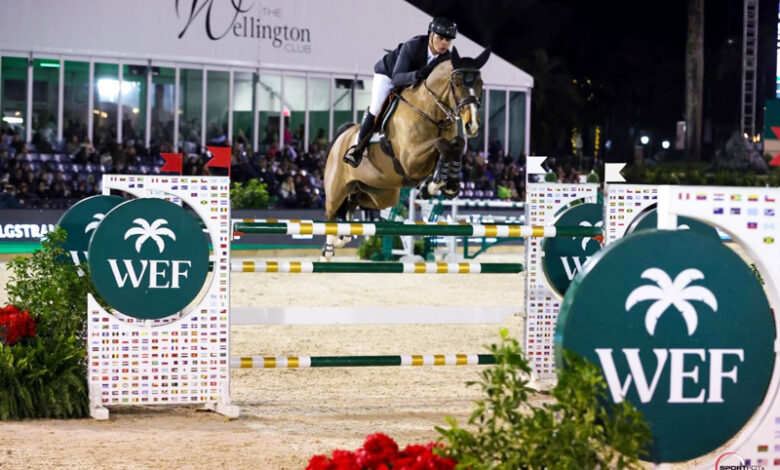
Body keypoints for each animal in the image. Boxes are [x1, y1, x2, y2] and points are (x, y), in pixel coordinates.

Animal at [321, 47, 491, 259]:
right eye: (457, 83)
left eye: (480, 84)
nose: (473, 126)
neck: (431, 112)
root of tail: (342, 136)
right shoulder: (410, 159)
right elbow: (441, 144)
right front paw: (436, 183)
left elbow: (455, 146)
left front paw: (445, 184)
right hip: (336, 190)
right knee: (331, 213)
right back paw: (330, 246)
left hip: (381, 194)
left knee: (354, 201)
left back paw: (343, 234)